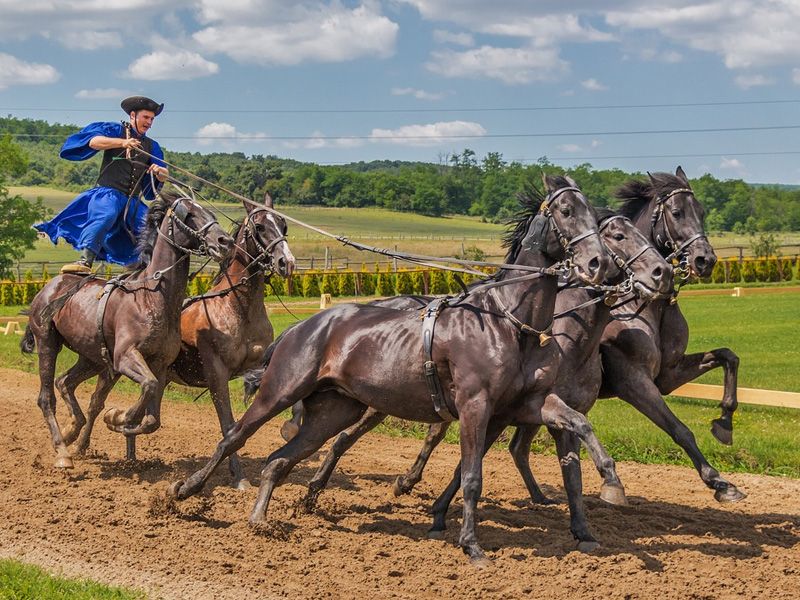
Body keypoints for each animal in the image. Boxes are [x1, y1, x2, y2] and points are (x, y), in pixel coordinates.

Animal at [21, 193, 234, 468]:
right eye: (189, 215)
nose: (224, 241)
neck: (151, 296)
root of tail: (49, 288)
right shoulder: (125, 357)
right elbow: (148, 387)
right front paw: (118, 416)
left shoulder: (159, 364)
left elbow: (152, 419)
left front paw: (120, 421)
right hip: (48, 343)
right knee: (46, 397)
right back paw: (62, 451)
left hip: (92, 358)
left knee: (65, 382)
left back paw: (72, 430)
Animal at [172, 175, 616, 564]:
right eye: (566, 210)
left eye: (594, 214)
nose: (598, 263)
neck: (507, 320)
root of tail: (300, 327)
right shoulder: (476, 406)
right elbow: (471, 477)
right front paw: (471, 545)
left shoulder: (526, 403)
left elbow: (579, 422)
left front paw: (610, 481)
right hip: (279, 391)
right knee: (233, 437)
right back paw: (186, 490)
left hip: (335, 410)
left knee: (280, 460)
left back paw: (260, 518)